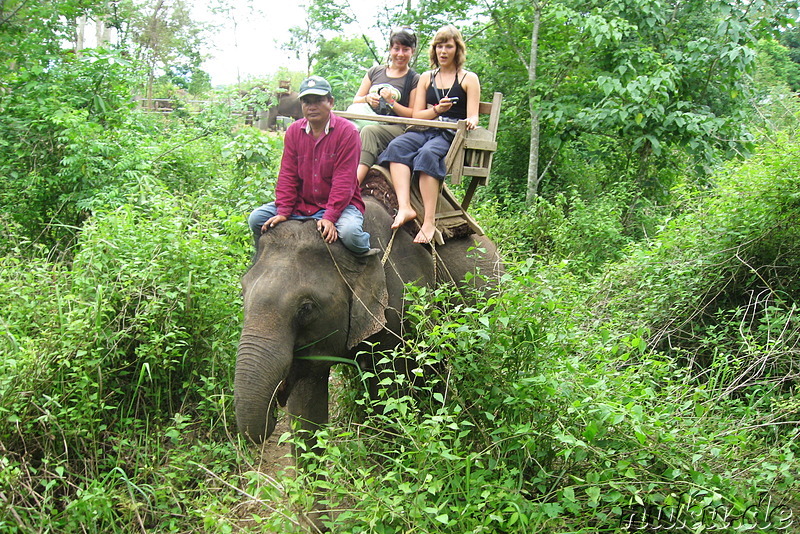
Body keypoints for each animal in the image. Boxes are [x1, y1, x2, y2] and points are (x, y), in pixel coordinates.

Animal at [234, 179, 504, 448]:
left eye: (306, 307)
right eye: (243, 292)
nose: (274, 407)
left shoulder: (400, 308)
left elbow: (389, 395)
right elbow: (306, 404)